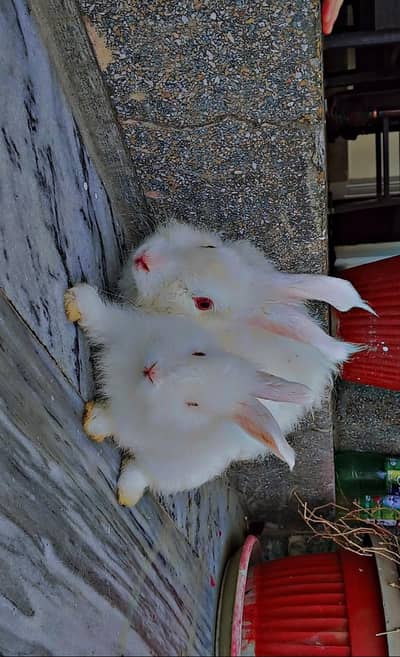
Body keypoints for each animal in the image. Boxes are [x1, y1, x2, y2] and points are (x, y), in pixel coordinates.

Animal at [64, 283, 312, 506]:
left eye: (193, 404)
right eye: (199, 354)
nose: (153, 371)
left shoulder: (133, 423)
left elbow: (115, 424)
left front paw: (93, 424)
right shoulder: (126, 329)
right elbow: (101, 318)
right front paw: (74, 302)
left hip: (179, 471)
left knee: (144, 474)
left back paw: (126, 496)